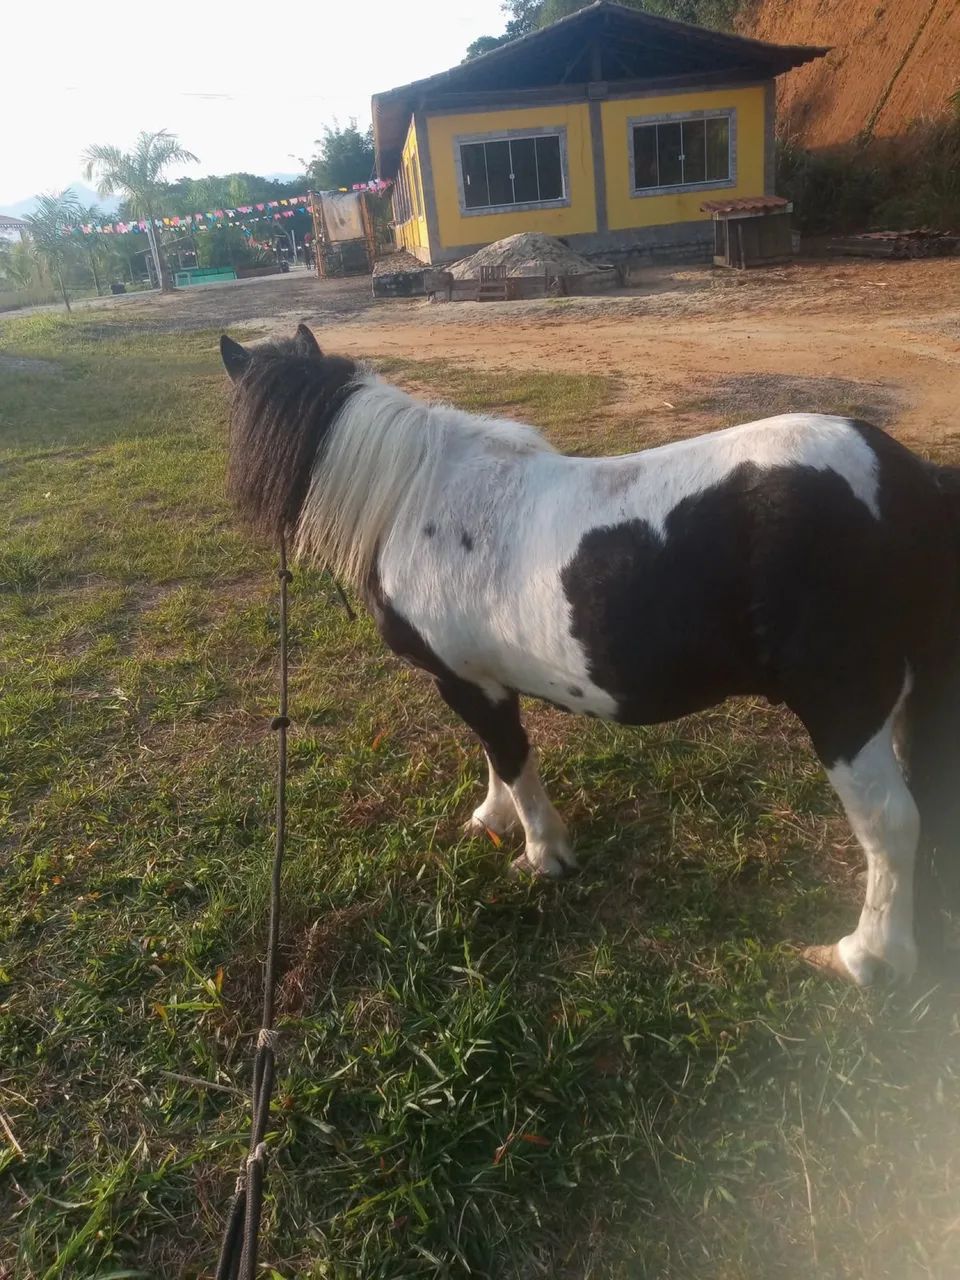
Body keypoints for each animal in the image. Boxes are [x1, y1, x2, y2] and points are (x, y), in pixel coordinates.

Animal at [220, 323, 960, 987]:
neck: (412, 500)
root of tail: (914, 482)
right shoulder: (481, 681)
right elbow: (498, 757)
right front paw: (491, 819)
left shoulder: (466, 685)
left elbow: (513, 762)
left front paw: (541, 854)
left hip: (846, 706)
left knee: (890, 822)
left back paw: (866, 959)